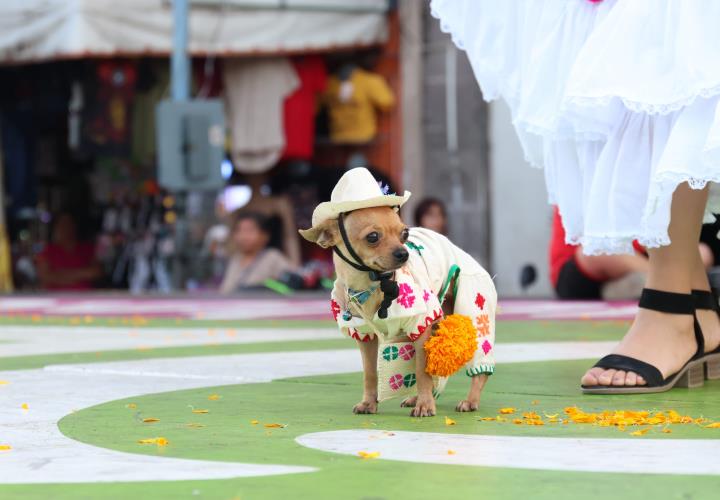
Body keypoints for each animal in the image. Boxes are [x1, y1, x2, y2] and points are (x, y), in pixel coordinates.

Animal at [298, 168, 496, 418]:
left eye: (405, 234)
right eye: (373, 237)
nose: (404, 254)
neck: (371, 286)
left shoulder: (421, 326)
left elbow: (421, 371)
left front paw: (425, 406)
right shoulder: (365, 336)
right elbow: (370, 374)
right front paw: (369, 403)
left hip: (472, 314)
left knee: (478, 368)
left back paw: (468, 400)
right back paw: (419, 397)